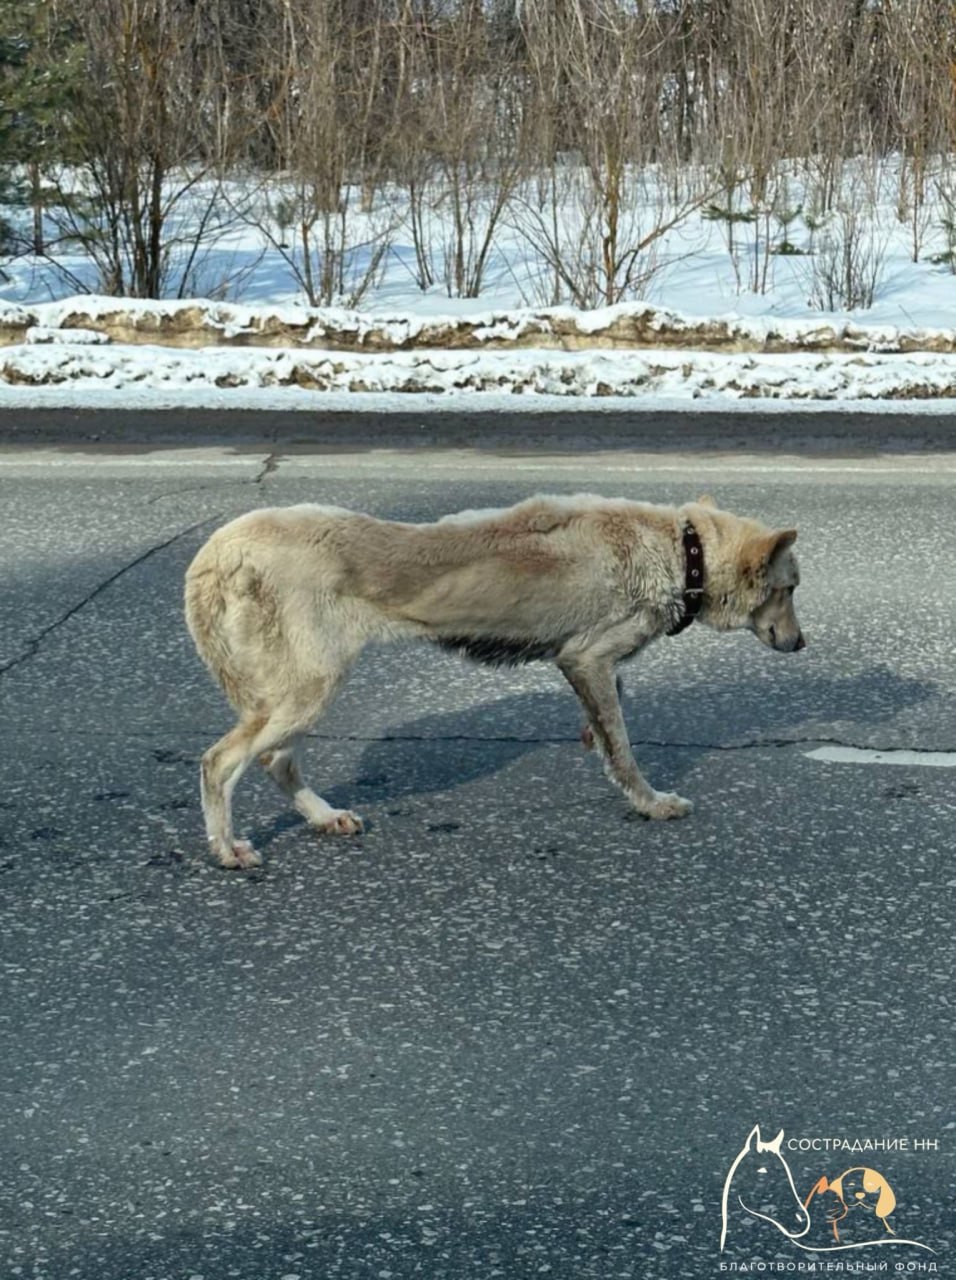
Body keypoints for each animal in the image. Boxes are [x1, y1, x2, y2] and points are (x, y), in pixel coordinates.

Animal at [183, 491, 803, 870]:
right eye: (790, 588)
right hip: (310, 689)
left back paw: (323, 816)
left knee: (275, 761)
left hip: (300, 694)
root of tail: (218, 548)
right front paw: (651, 804)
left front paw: (592, 738)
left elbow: (608, 726)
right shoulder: (587, 658)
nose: (802, 645)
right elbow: (625, 752)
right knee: (221, 762)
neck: (681, 552)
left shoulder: (590, 668)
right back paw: (227, 848)